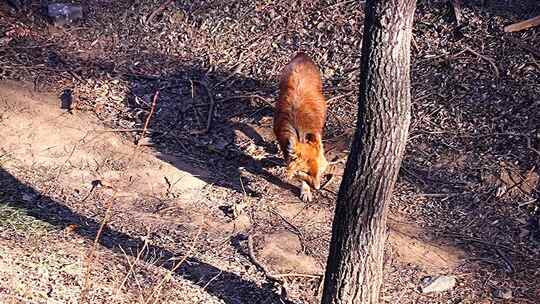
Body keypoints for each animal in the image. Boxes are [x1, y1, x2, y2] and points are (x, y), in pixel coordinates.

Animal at [272, 52, 326, 202]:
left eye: (319, 171)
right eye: (306, 172)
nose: (317, 188)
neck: (299, 130)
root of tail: (301, 55)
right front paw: (306, 189)